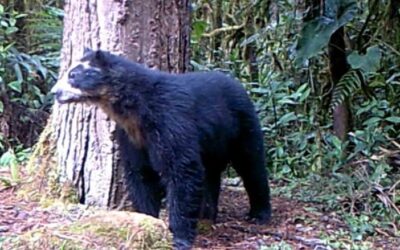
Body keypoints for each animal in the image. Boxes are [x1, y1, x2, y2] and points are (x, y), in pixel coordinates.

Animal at [50, 48, 272, 250]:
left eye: (73, 74)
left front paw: (179, 237)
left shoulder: (170, 122)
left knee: (251, 165)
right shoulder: (131, 135)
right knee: (211, 175)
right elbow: (140, 173)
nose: (54, 92)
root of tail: (238, 84)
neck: (135, 110)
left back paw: (259, 213)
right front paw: (147, 220)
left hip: (242, 126)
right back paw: (207, 213)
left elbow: (181, 170)